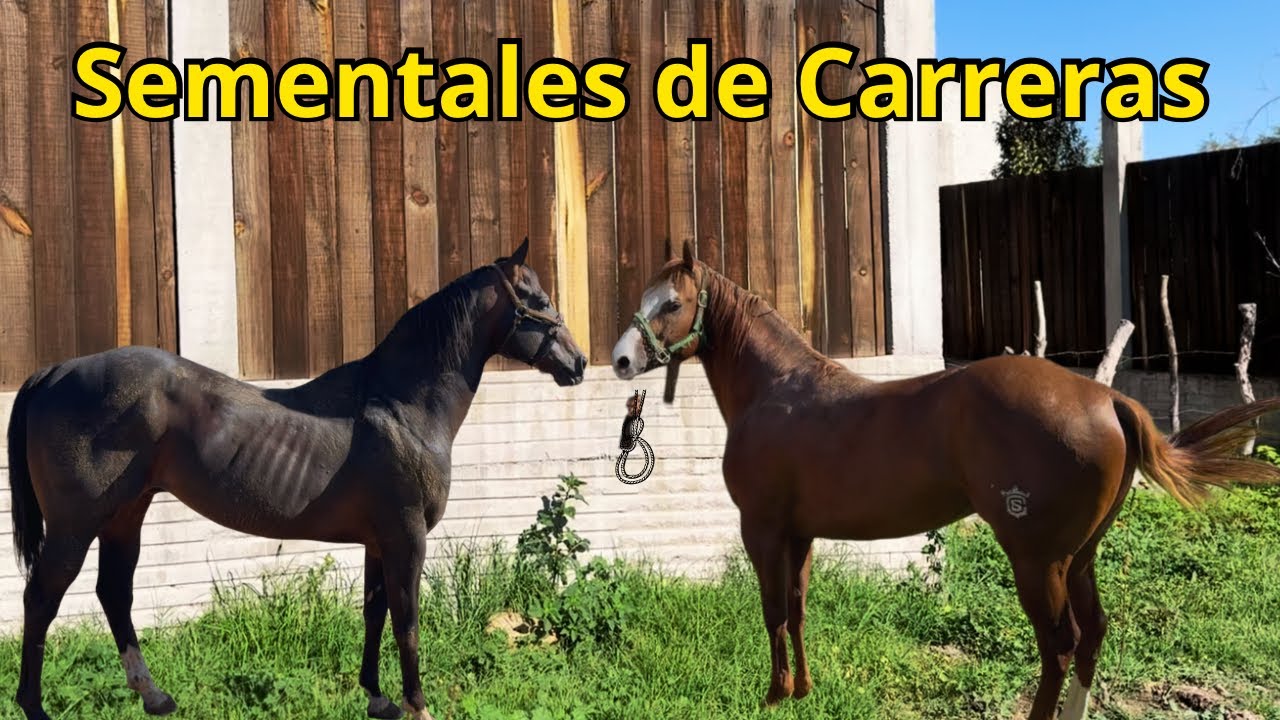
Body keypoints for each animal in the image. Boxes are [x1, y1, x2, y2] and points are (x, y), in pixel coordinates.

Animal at [7, 240, 585, 720]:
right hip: (74, 526)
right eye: (537, 297)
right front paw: (417, 705)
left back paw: (155, 697)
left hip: (126, 515)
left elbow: (374, 612)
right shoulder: (407, 536)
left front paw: (378, 699)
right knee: (42, 599)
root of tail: (54, 372)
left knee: (114, 593)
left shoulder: (379, 540)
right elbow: (407, 621)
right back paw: (35, 707)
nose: (578, 362)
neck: (400, 407)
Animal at [611, 240, 1280, 720]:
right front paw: (801, 691)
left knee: (1059, 645)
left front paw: (774, 696)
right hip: (1079, 558)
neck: (777, 390)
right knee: (1092, 636)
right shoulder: (800, 535)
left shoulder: (763, 530)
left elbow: (773, 609)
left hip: (1038, 562)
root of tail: (1108, 399)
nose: (620, 360)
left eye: (671, 303)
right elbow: (797, 610)